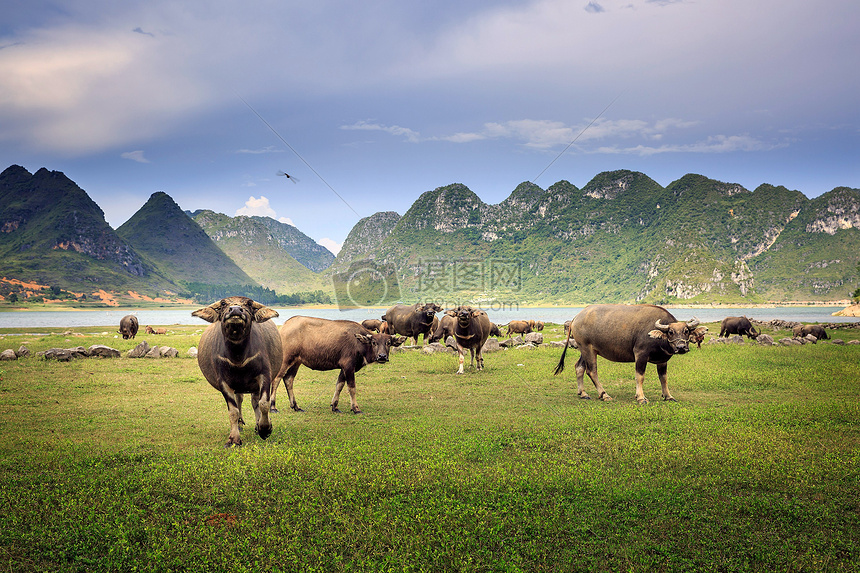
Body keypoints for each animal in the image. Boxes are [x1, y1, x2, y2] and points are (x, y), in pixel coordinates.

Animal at [192, 294, 282, 446]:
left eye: (249, 303)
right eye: (223, 303)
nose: (235, 310)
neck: (238, 356)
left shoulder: (265, 375)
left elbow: (263, 404)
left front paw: (265, 429)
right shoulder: (223, 382)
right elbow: (233, 411)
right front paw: (234, 439)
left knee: (254, 401)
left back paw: (257, 425)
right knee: (239, 400)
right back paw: (240, 424)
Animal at [272, 316, 406, 414]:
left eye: (388, 342)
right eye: (374, 342)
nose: (382, 357)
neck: (359, 343)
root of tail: (283, 327)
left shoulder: (343, 368)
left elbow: (339, 385)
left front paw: (335, 406)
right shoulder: (348, 366)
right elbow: (352, 388)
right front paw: (356, 408)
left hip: (296, 362)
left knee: (288, 379)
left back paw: (296, 406)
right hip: (285, 360)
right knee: (276, 380)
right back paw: (273, 407)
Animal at [556, 302, 700, 404]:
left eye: (686, 331)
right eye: (671, 332)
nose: (681, 347)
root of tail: (577, 317)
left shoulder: (662, 360)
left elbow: (663, 378)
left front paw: (668, 396)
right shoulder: (640, 354)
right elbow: (640, 376)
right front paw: (641, 397)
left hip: (585, 349)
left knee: (579, 367)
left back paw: (583, 393)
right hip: (587, 349)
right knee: (591, 371)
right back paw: (604, 395)